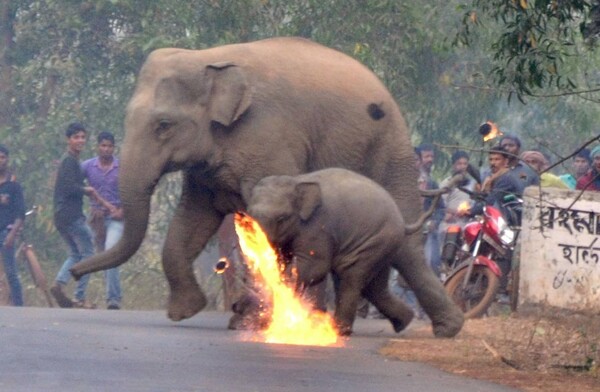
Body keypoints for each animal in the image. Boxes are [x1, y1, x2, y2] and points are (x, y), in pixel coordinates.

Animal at [246, 167, 424, 336]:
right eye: (249, 216)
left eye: (282, 218)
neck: (297, 181)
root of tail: (401, 219)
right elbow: (282, 260)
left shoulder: (318, 226)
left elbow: (315, 266)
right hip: (383, 247)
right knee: (375, 288)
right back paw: (404, 322)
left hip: (377, 241)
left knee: (351, 277)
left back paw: (340, 331)